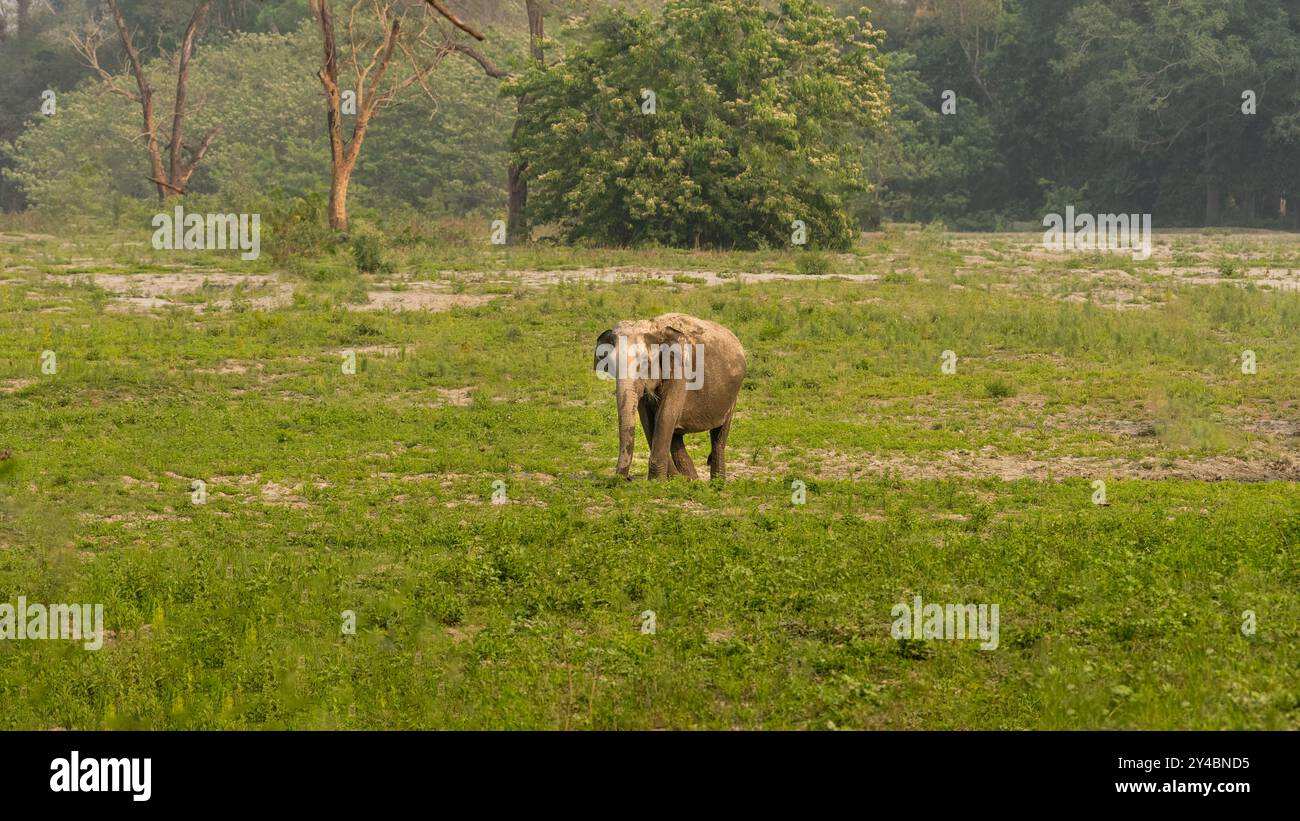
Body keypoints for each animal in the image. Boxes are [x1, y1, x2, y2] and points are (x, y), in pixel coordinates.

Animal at [595, 314, 748, 480]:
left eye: (644, 363)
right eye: (611, 365)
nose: (627, 479)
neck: (655, 328)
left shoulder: (681, 370)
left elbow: (665, 415)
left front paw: (656, 482)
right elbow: (649, 420)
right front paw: (669, 480)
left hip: (733, 394)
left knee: (719, 436)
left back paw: (715, 482)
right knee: (676, 437)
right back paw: (691, 480)